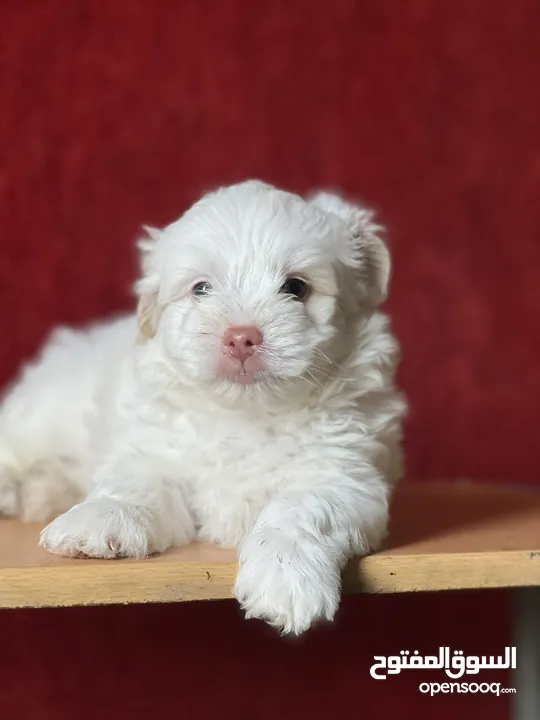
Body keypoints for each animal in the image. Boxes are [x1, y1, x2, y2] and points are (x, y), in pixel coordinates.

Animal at [0, 181, 404, 636]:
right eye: (201, 289)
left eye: (296, 288)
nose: (241, 337)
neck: (247, 415)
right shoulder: (155, 450)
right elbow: (136, 484)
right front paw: (100, 518)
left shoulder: (344, 474)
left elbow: (302, 508)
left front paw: (285, 574)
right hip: (39, 415)